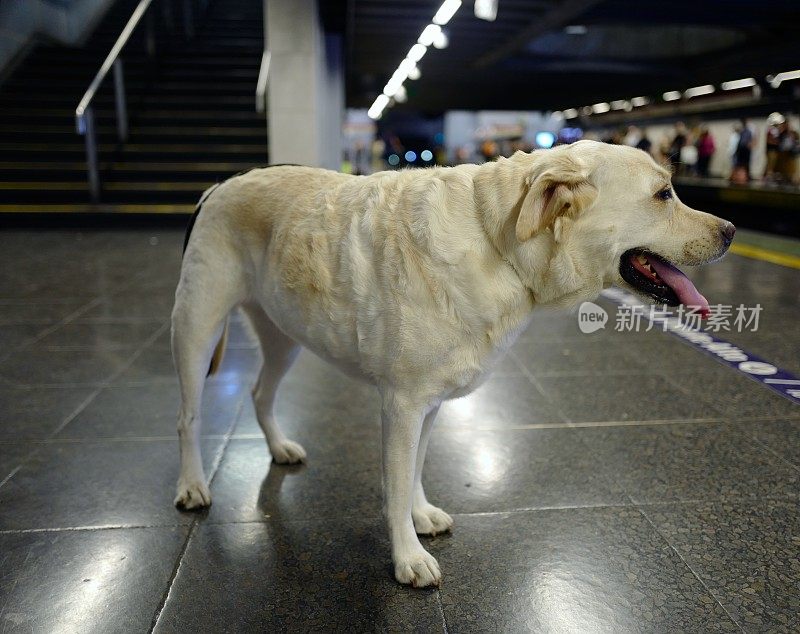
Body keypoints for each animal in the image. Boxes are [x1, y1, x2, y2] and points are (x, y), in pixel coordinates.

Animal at [172, 141, 736, 584]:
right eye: (664, 195)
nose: (731, 229)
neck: (498, 241)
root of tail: (217, 187)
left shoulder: (430, 403)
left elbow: (416, 469)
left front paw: (420, 515)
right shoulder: (401, 405)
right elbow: (396, 483)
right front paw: (408, 558)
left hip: (284, 336)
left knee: (259, 394)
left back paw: (279, 447)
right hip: (197, 331)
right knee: (189, 418)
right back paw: (193, 485)